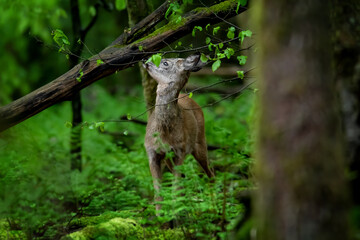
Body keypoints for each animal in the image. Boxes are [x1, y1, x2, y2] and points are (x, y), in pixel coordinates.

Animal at [143, 54, 214, 212]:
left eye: (165, 62)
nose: (146, 61)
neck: (164, 131)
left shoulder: (180, 151)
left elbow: (175, 188)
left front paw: (174, 212)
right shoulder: (151, 152)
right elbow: (158, 191)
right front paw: (160, 214)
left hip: (200, 141)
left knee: (210, 171)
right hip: (168, 158)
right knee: (184, 178)